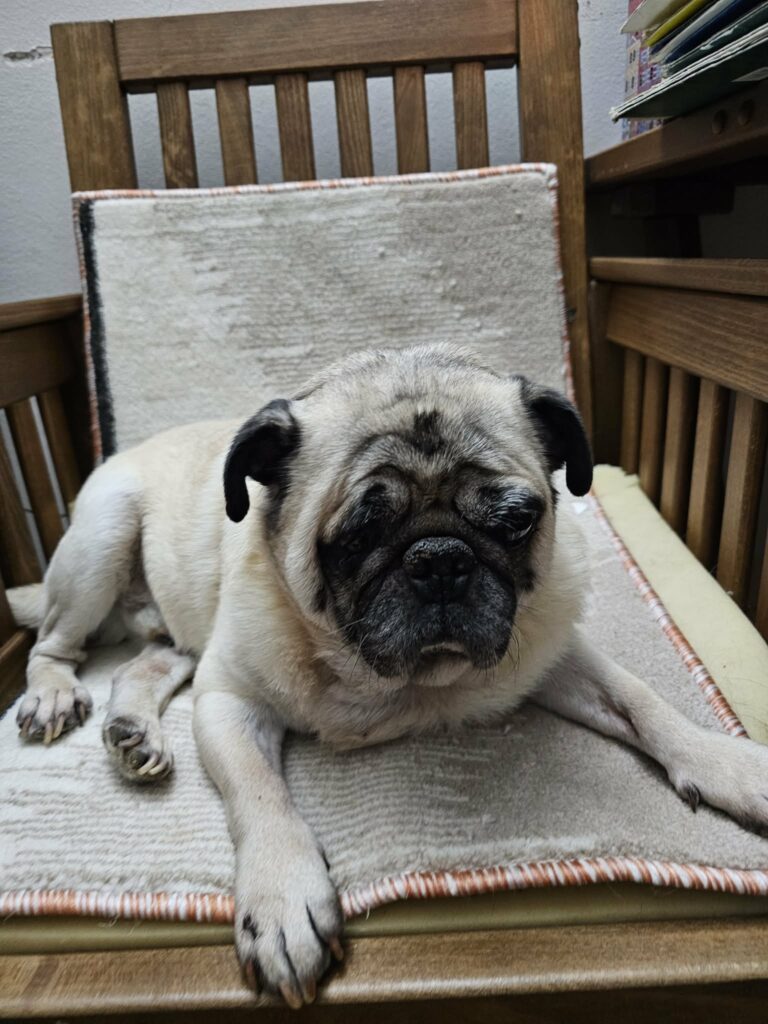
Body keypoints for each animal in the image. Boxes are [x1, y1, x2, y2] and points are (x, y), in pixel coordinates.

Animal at [10, 343, 768, 1007]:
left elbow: (641, 700)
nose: (440, 559)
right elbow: (261, 796)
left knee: (147, 661)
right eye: (357, 536)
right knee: (51, 646)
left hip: (168, 628)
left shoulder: (549, 654)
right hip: (101, 543)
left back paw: (133, 731)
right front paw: (282, 897)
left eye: (516, 522)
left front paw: (725, 762)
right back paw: (54, 697)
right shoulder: (229, 700)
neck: (396, 681)